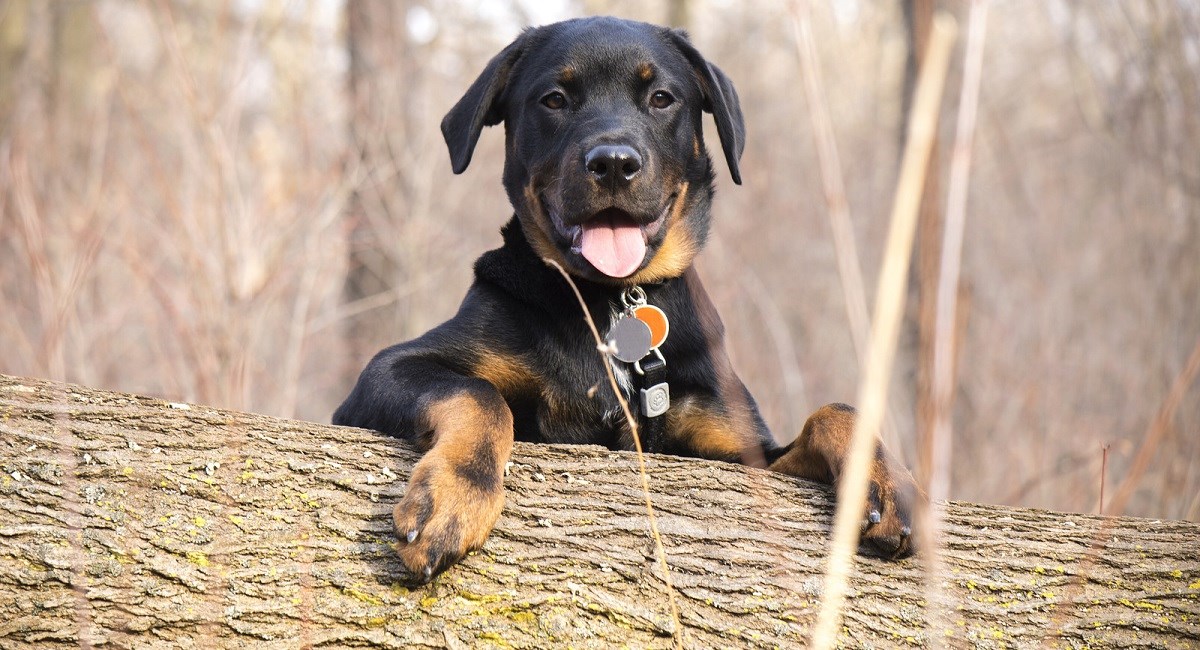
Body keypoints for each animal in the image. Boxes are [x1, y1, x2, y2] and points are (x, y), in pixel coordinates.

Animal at [333, 16, 912, 585]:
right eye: (554, 99)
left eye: (661, 97)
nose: (613, 163)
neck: (612, 301)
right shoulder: (385, 373)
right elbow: (478, 393)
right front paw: (453, 497)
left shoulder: (741, 454)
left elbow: (836, 411)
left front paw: (888, 482)